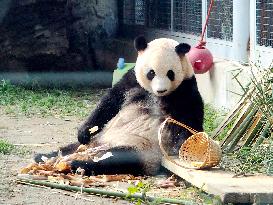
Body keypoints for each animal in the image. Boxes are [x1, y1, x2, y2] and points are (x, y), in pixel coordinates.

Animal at [35, 36, 203, 175]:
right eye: (151, 73)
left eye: (170, 73)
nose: (161, 90)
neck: (157, 96)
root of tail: (99, 146)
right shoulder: (132, 80)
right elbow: (111, 101)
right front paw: (84, 131)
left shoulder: (185, 89)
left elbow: (191, 118)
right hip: (94, 140)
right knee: (70, 147)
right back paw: (44, 156)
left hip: (141, 148)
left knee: (119, 159)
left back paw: (80, 165)